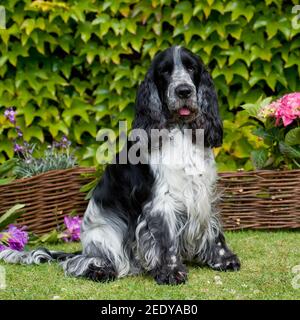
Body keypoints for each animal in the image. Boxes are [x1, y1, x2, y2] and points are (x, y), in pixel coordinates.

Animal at [0, 45, 239, 284]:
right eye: (165, 71)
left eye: (191, 68)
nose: (184, 91)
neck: (180, 130)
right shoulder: (161, 200)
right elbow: (166, 239)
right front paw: (171, 272)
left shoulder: (204, 193)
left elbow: (214, 231)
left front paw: (224, 260)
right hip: (104, 233)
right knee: (80, 262)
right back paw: (100, 270)